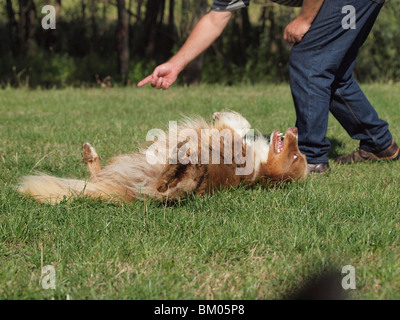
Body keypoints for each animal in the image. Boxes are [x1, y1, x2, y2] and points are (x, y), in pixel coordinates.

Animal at [17, 111, 308, 204]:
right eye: (298, 154)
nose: (295, 130)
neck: (259, 168)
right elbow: (242, 123)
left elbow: (236, 125)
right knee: (97, 174)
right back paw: (90, 154)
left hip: (180, 184)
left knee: (165, 183)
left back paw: (180, 159)